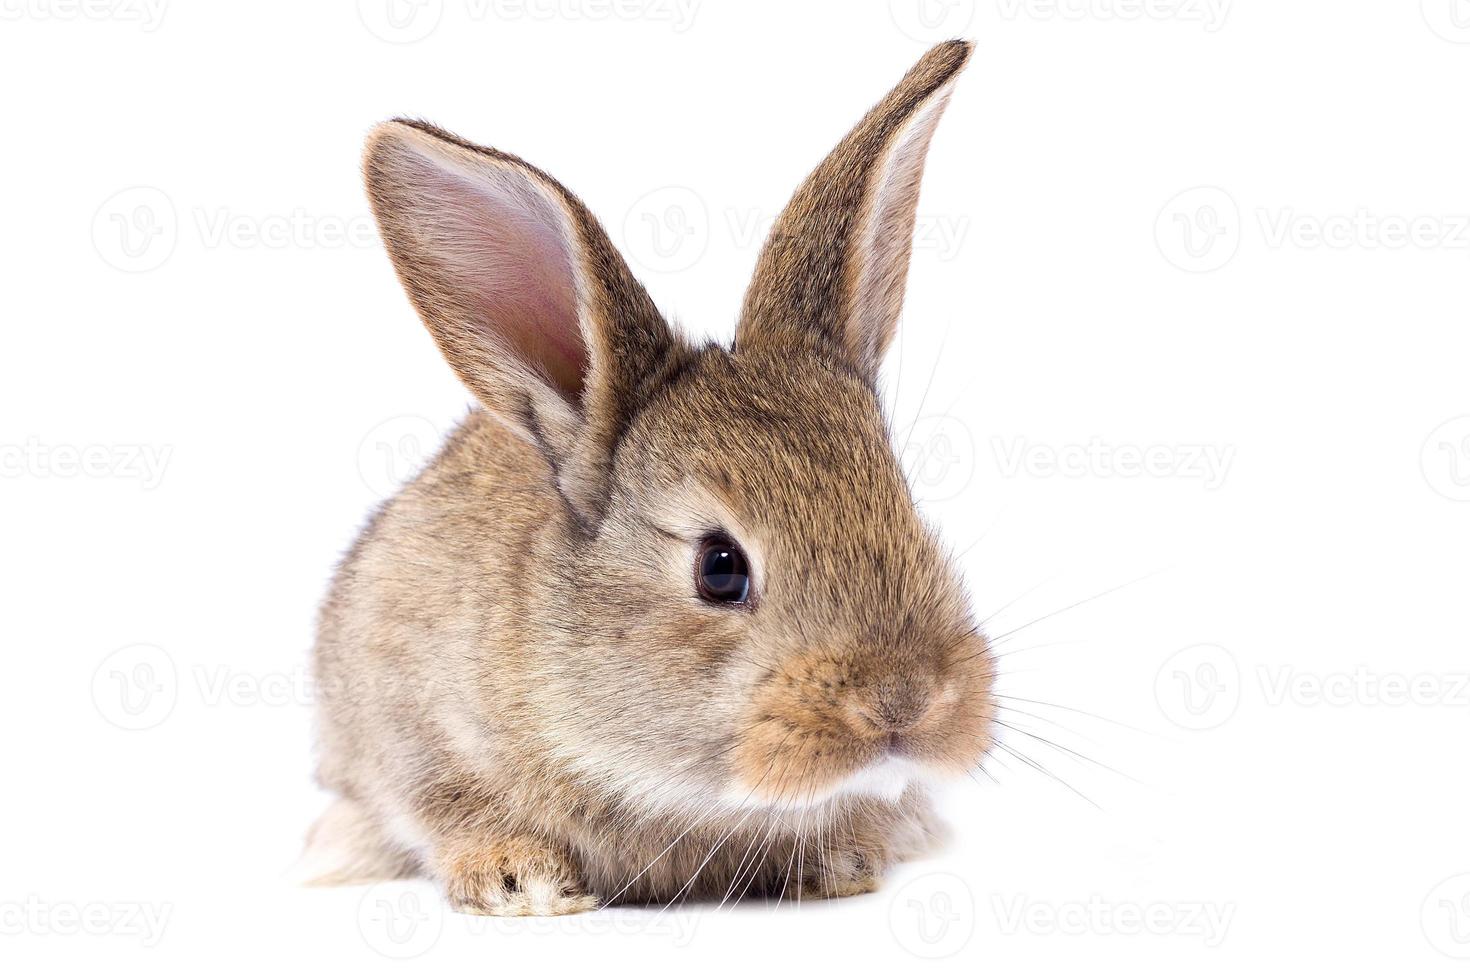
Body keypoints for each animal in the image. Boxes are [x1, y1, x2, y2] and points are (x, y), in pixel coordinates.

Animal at [307, 36, 999, 910]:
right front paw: (521, 882)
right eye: (719, 567)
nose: (902, 700)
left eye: (911, 518)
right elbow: (443, 806)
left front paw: (844, 862)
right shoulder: (410, 729)